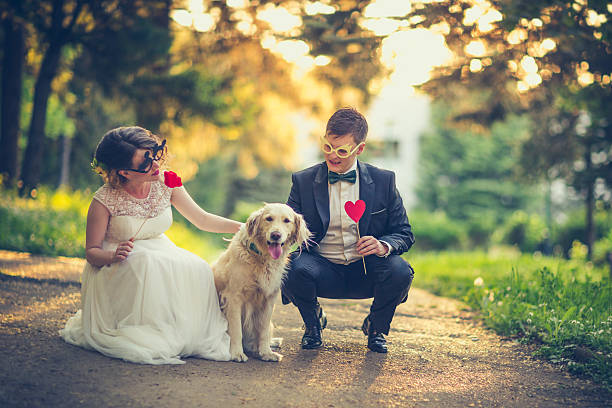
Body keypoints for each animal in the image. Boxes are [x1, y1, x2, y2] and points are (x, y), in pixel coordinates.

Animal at [214, 202, 310, 362]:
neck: (261, 257)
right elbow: (236, 329)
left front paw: (266, 353)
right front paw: (237, 353)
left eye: (287, 220)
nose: (276, 235)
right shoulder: (233, 297)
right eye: (269, 218)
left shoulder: (269, 299)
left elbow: (263, 330)